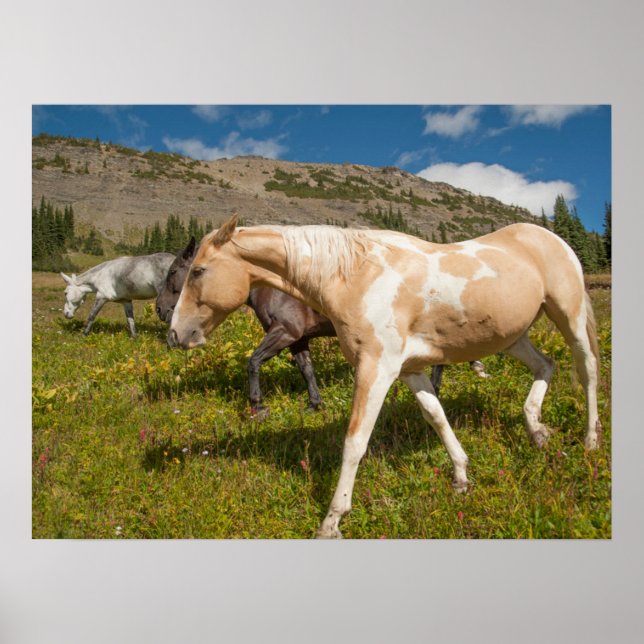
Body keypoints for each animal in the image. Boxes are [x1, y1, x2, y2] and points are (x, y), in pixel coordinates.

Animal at [156, 237, 489, 415]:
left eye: (175, 271)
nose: (161, 309)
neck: (271, 286)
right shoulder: (297, 338)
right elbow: (307, 369)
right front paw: (314, 404)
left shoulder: (284, 332)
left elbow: (253, 361)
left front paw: (257, 405)